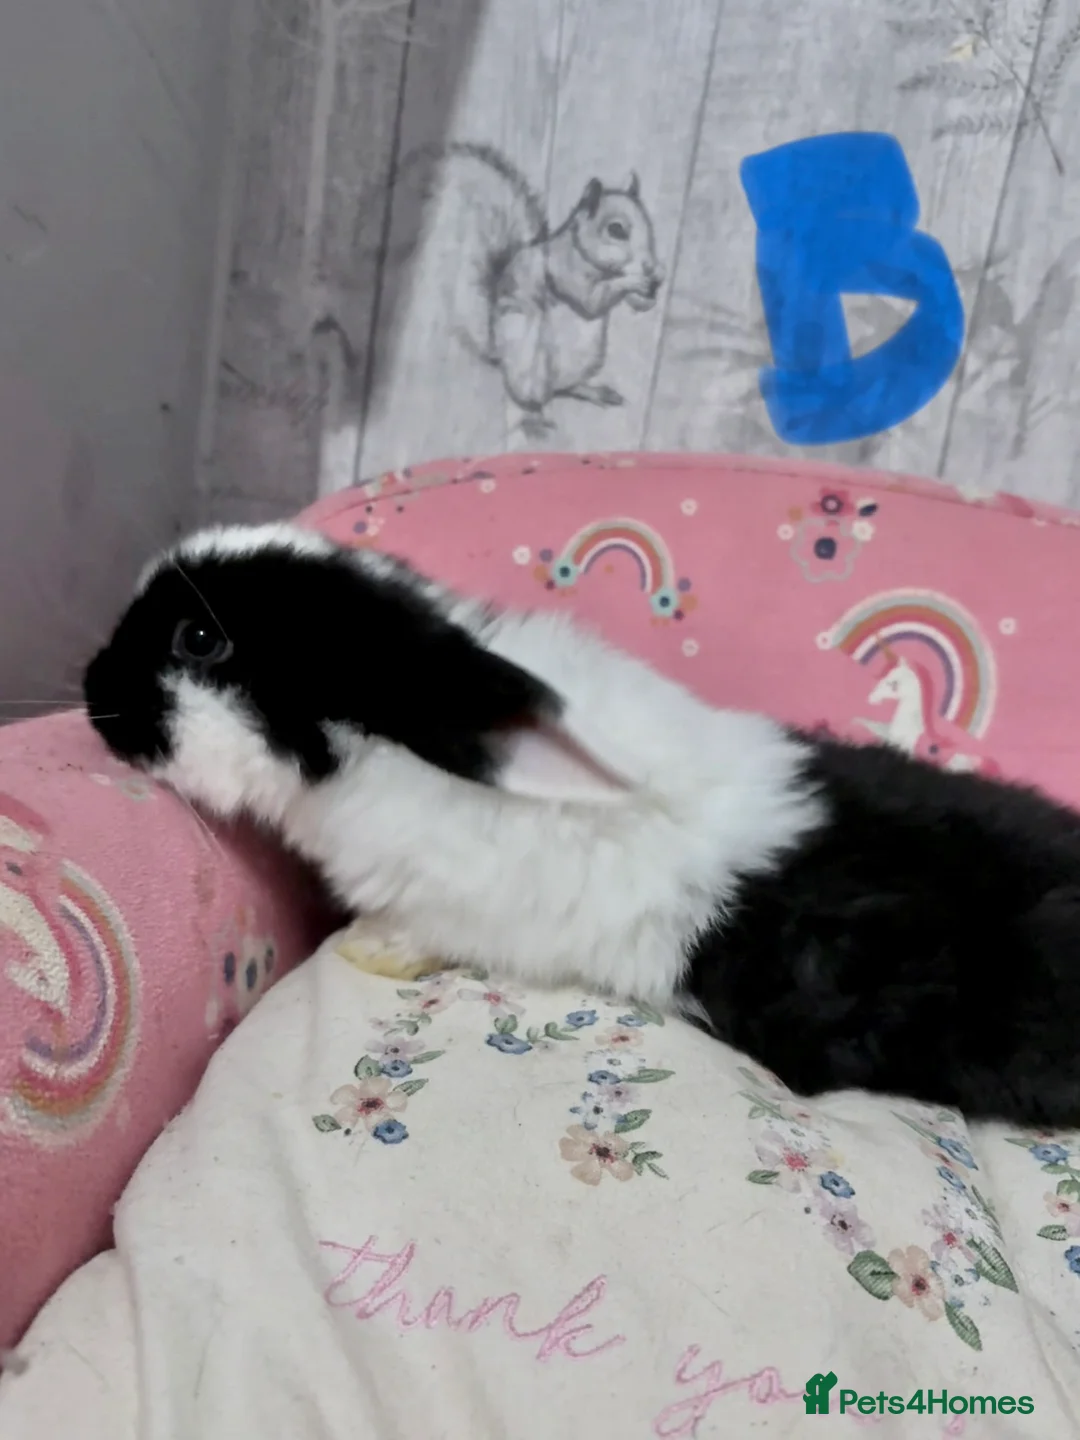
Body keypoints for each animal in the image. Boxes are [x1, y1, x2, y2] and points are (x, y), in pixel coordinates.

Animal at [84, 522, 1080, 1126]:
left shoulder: (449, 905)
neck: (392, 755)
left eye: (199, 641)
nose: (92, 687)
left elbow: (415, 935)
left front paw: (366, 951)